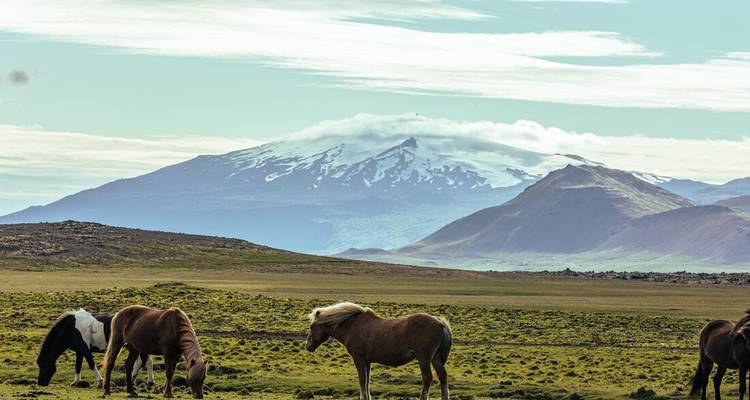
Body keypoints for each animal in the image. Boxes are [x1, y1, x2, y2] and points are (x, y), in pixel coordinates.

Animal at [305, 302, 452, 400]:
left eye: (312, 326)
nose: (308, 346)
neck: (352, 326)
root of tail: (440, 323)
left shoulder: (359, 359)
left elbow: (362, 381)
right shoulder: (367, 361)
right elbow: (367, 382)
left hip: (424, 359)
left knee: (427, 378)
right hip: (436, 359)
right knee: (443, 377)